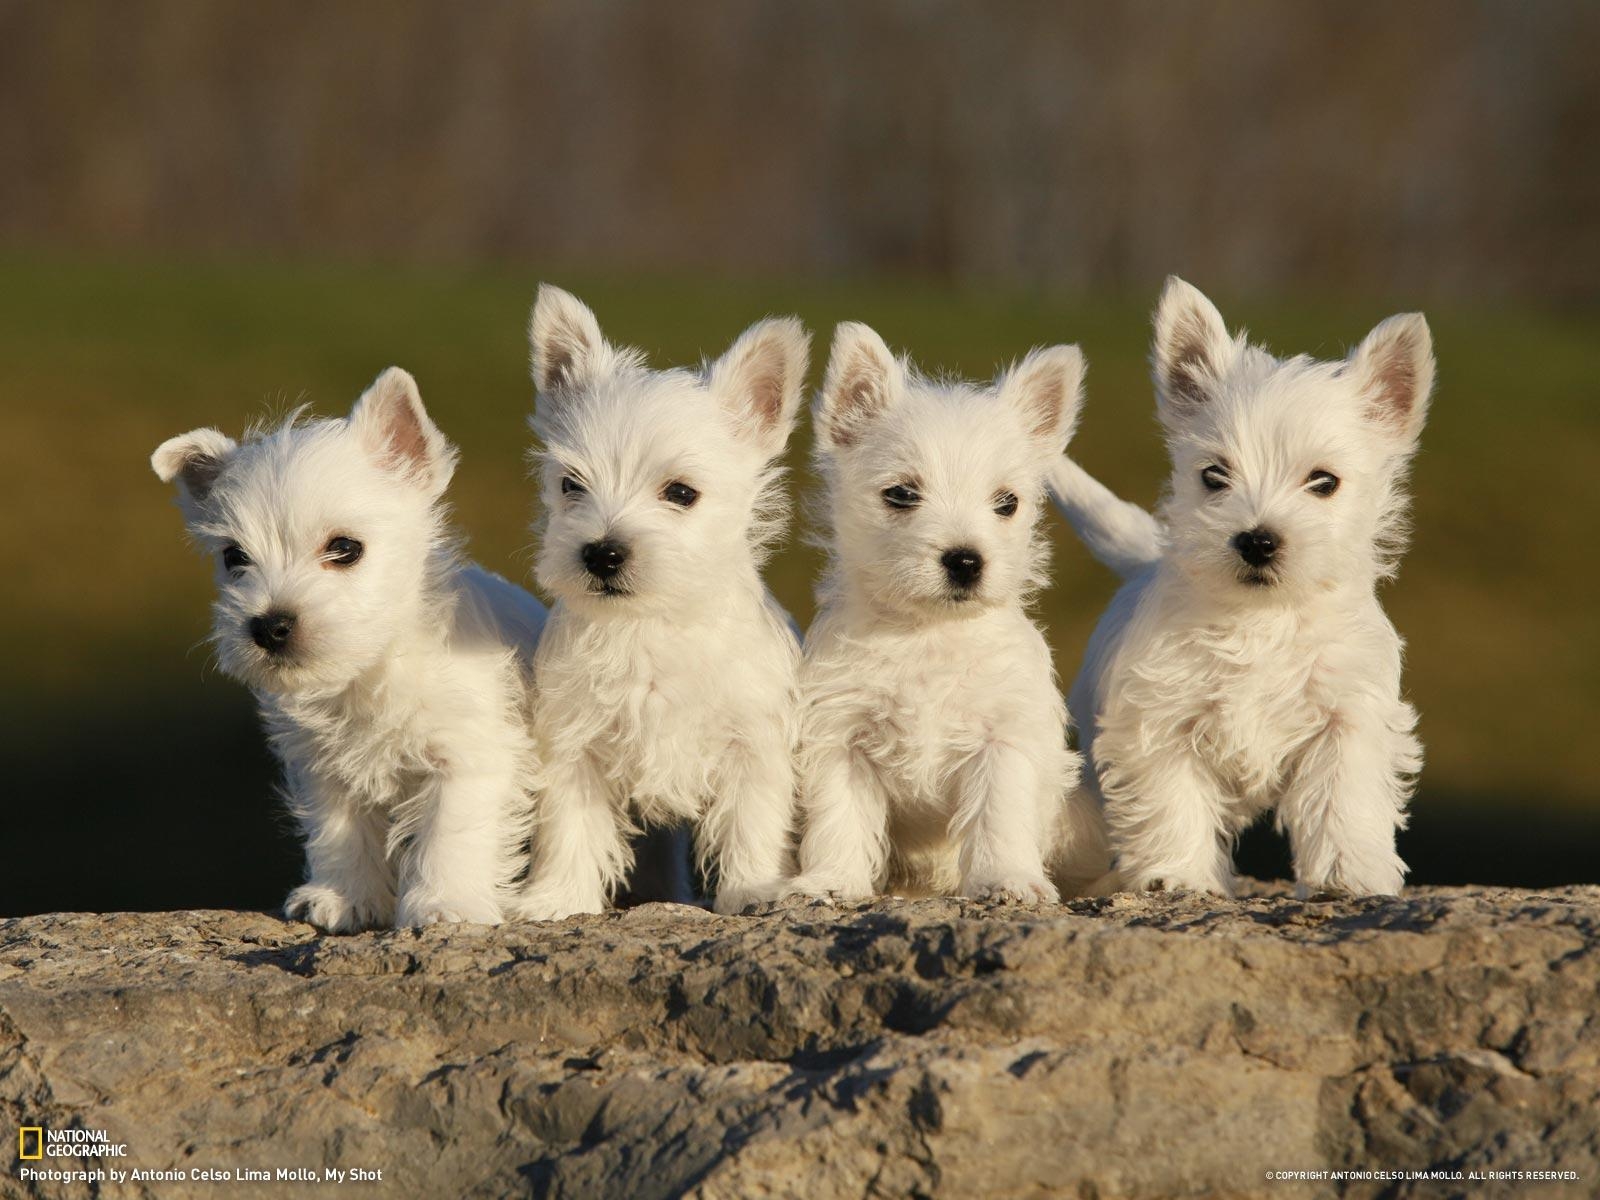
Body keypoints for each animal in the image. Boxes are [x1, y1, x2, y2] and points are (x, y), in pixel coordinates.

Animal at [152, 371, 547, 934]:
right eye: (233, 557)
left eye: (345, 548)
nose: (269, 625)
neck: (371, 669)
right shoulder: (325, 768)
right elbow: (340, 833)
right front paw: (344, 898)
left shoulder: (467, 756)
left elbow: (451, 833)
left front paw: (443, 904)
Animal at [515, 284, 806, 921]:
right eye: (571, 484)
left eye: (681, 493)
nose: (602, 553)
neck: (649, 625)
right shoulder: (574, 747)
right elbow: (569, 829)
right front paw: (556, 900)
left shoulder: (752, 744)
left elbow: (752, 823)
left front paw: (753, 889)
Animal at [784, 324, 1107, 908]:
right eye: (900, 494)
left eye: (1007, 503)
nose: (965, 560)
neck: (929, 634)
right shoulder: (842, 741)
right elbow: (839, 818)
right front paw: (830, 882)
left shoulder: (1003, 738)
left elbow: (999, 814)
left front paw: (1007, 880)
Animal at [1049, 281, 1440, 896]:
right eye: (1214, 475)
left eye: (1324, 482)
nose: (1257, 540)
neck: (1263, 619)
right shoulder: (1161, 722)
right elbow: (1174, 801)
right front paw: (1179, 875)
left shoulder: (1346, 719)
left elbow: (1342, 800)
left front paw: (1348, 874)